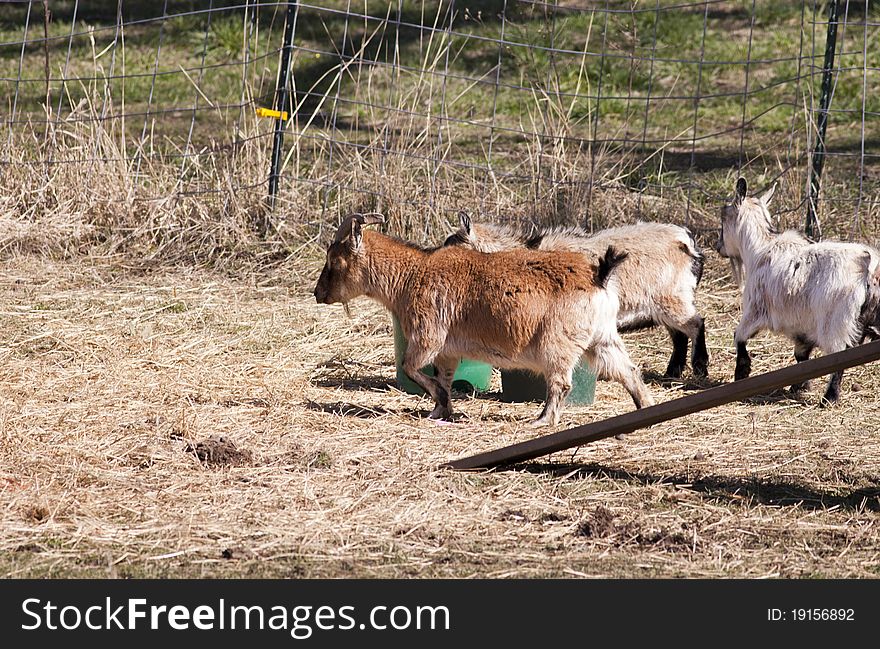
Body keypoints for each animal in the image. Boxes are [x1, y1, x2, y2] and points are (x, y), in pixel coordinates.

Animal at [314, 213, 652, 426]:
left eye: (334, 260)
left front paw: (442, 404)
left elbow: (411, 367)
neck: (413, 274)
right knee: (629, 371)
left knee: (561, 383)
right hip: (602, 338)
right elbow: (443, 378)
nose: (317, 293)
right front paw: (440, 411)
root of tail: (599, 274)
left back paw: (542, 420)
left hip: (557, 344)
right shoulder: (448, 352)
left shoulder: (428, 337)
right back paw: (644, 409)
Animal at [444, 213, 712, 378]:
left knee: (695, 324)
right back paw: (672, 372)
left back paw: (699, 367)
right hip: (665, 303)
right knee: (679, 334)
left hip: (673, 298)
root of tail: (687, 241)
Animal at [716, 175, 880, 402]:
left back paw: (829, 397)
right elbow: (802, 356)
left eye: (723, 219)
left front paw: (741, 373)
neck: (759, 250)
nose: (718, 247)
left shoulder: (755, 310)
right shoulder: (803, 327)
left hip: (836, 323)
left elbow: (738, 336)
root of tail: (868, 265)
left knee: (840, 356)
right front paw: (799, 385)